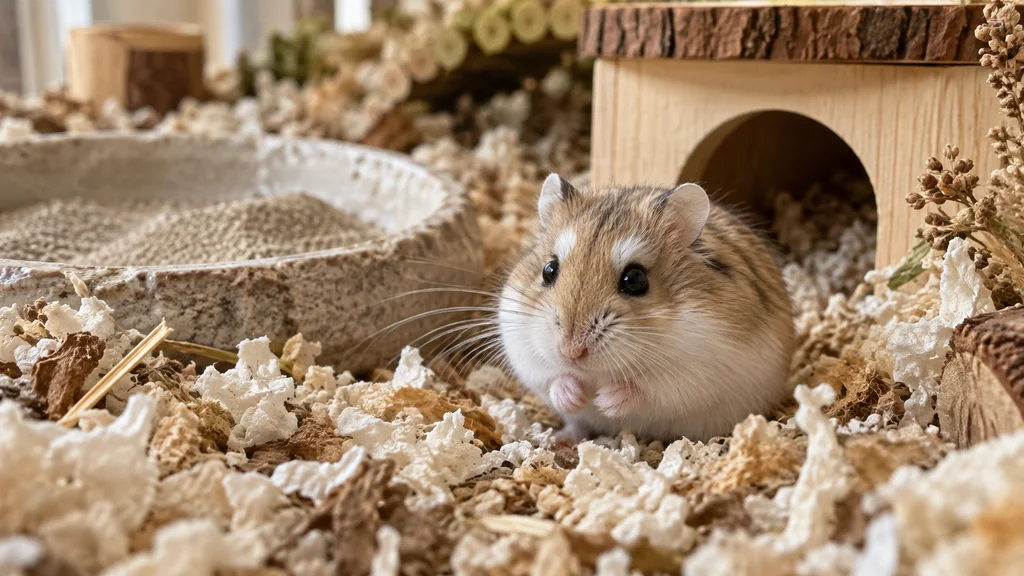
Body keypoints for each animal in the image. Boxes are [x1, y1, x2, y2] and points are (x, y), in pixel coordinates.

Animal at [498, 174, 796, 443]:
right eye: (548, 270)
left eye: (635, 280)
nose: (571, 352)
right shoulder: (525, 353)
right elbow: (553, 377)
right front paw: (575, 396)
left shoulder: (698, 372)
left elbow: (646, 390)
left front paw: (604, 400)